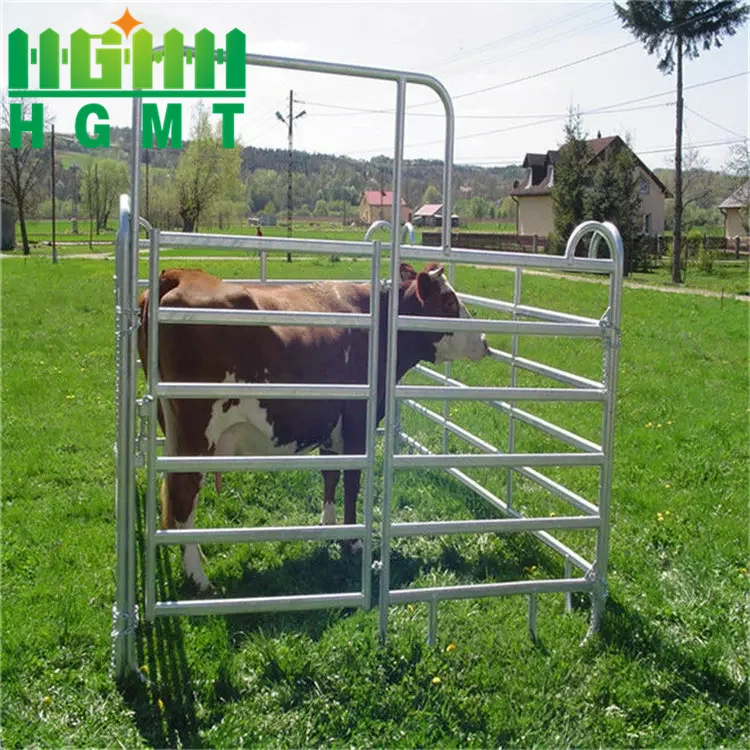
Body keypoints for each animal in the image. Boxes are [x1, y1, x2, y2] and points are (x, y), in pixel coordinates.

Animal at [137, 262, 489, 590]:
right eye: (448, 302)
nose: (485, 341)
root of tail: (181, 275)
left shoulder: (332, 422)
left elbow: (330, 474)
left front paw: (329, 526)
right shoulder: (358, 420)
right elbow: (352, 481)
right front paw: (353, 541)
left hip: (174, 429)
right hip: (199, 430)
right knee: (183, 493)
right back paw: (198, 577)